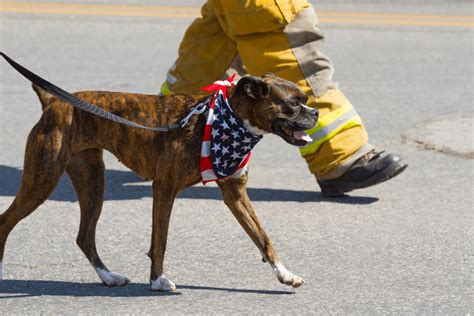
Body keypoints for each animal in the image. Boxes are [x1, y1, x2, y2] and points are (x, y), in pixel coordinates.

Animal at [0, 74, 318, 292]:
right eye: (293, 104)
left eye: (305, 101)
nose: (315, 113)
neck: (227, 120)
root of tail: (54, 101)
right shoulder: (164, 189)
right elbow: (160, 239)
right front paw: (158, 280)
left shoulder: (236, 194)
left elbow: (262, 236)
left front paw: (285, 274)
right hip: (42, 180)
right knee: (6, 221)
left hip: (92, 183)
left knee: (84, 237)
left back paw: (109, 276)